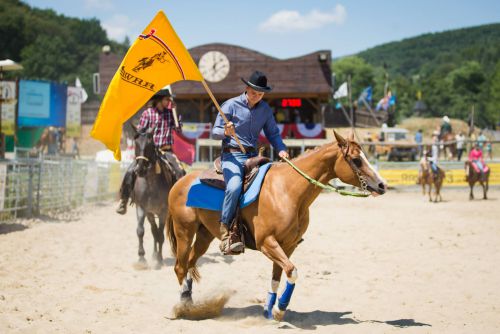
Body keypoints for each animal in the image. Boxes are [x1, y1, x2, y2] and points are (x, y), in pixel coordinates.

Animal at [166, 130, 384, 320]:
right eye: (356, 160)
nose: (382, 185)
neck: (287, 190)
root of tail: (180, 181)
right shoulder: (267, 242)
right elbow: (292, 271)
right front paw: (280, 310)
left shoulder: (288, 245)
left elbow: (278, 276)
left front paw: (269, 310)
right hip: (184, 231)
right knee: (180, 267)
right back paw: (180, 309)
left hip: (204, 235)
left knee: (190, 263)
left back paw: (190, 304)